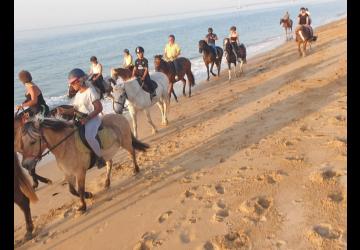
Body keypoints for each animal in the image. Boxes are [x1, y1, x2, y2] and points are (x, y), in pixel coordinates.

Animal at [16, 114, 149, 211]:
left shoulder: (79, 172)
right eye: (21, 143)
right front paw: (88, 195)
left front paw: (83, 206)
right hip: (107, 153)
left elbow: (79, 189)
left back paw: (136, 169)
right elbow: (72, 190)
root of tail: (120, 116)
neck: (65, 146)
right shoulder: (68, 173)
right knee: (109, 164)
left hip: (126, 142)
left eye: (32, 142)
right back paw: (106, 183)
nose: (25, 165)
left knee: (132, 153)